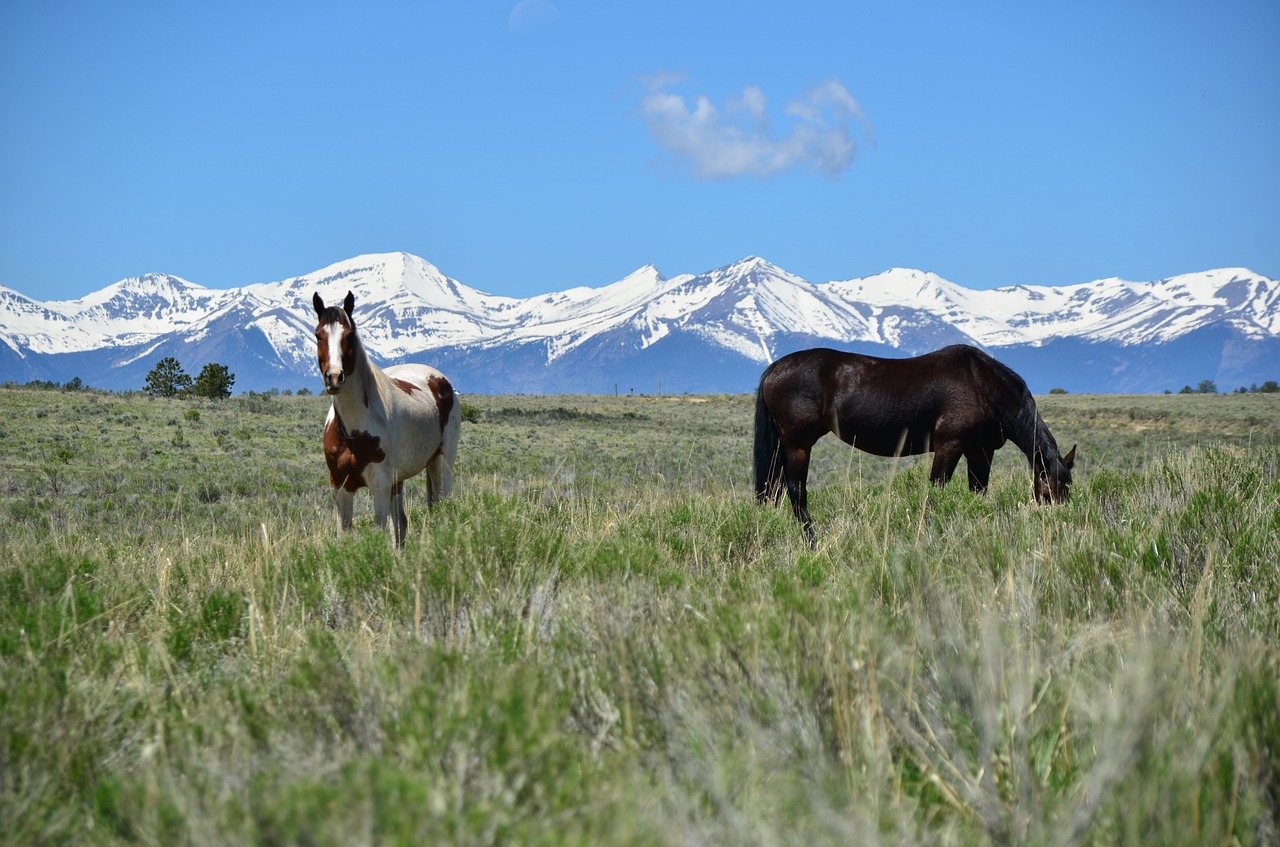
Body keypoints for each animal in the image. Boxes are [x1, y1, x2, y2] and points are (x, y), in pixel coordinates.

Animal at [312, 290, 463, 545]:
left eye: (349, 334)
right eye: (318, 335)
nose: (334, 377)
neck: (353, 432)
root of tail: (439, 380)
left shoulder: (380, 485)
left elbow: (378, 533)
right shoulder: (341, 486)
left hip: (441, 463)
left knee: (442, 508)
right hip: (398, 481)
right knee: (401, 526)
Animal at [752, 342, 1075, 537]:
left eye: (1067, 492)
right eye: (1047, 493)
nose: (1058, 528)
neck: (981, 384)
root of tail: (774, 369)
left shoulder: (980, 451)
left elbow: (978, 492)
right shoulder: (950, 445)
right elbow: (935, 491)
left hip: (784, 447)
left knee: (774, 490)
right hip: (798, 446)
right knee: (796, 492)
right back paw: (813, 540)